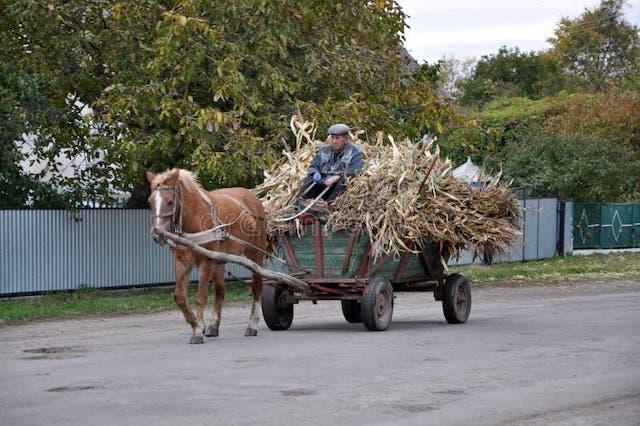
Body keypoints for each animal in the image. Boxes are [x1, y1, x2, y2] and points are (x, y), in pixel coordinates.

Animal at [146, 168, 268, 344]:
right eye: (150, 202)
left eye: (169, 202)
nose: (156, 234)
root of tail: (252, 198)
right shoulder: (181, 261)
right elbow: (179, 297)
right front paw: (196, 324)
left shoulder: (206, 261)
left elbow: (200, 297)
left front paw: (197, 331)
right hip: (219, 259)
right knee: (220, 289)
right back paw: (213, 326)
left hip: (255, 254)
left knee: (257, 286)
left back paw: (252, 325)